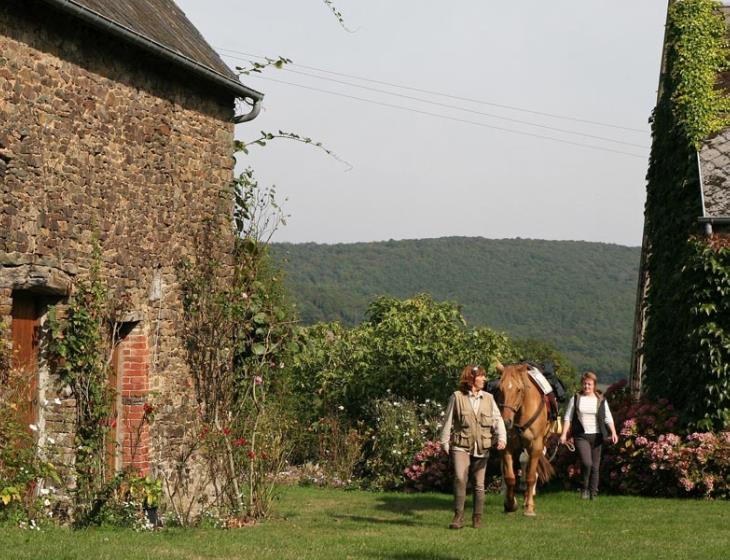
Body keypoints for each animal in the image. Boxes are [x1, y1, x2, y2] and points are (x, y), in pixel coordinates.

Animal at [494, 364, 552, 516]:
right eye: (499, 388)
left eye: (518, 389)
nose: (506, 421)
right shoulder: (506, 447)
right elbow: (510, 477)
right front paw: (510, 504)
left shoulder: (536, 446)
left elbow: (531, 477)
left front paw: (529, 507)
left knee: (530, 471)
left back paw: (527, 500)